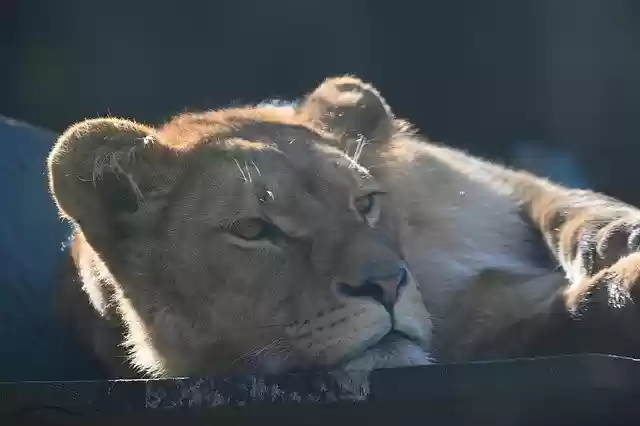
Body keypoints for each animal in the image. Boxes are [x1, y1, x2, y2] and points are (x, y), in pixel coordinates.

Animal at [48, 76, 640, 379]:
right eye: (253, 230)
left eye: (365, 203)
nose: (387, 284)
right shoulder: (490, 338)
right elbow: (578, 312)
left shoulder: (495, 180)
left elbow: (563, 202)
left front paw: (620, 236)